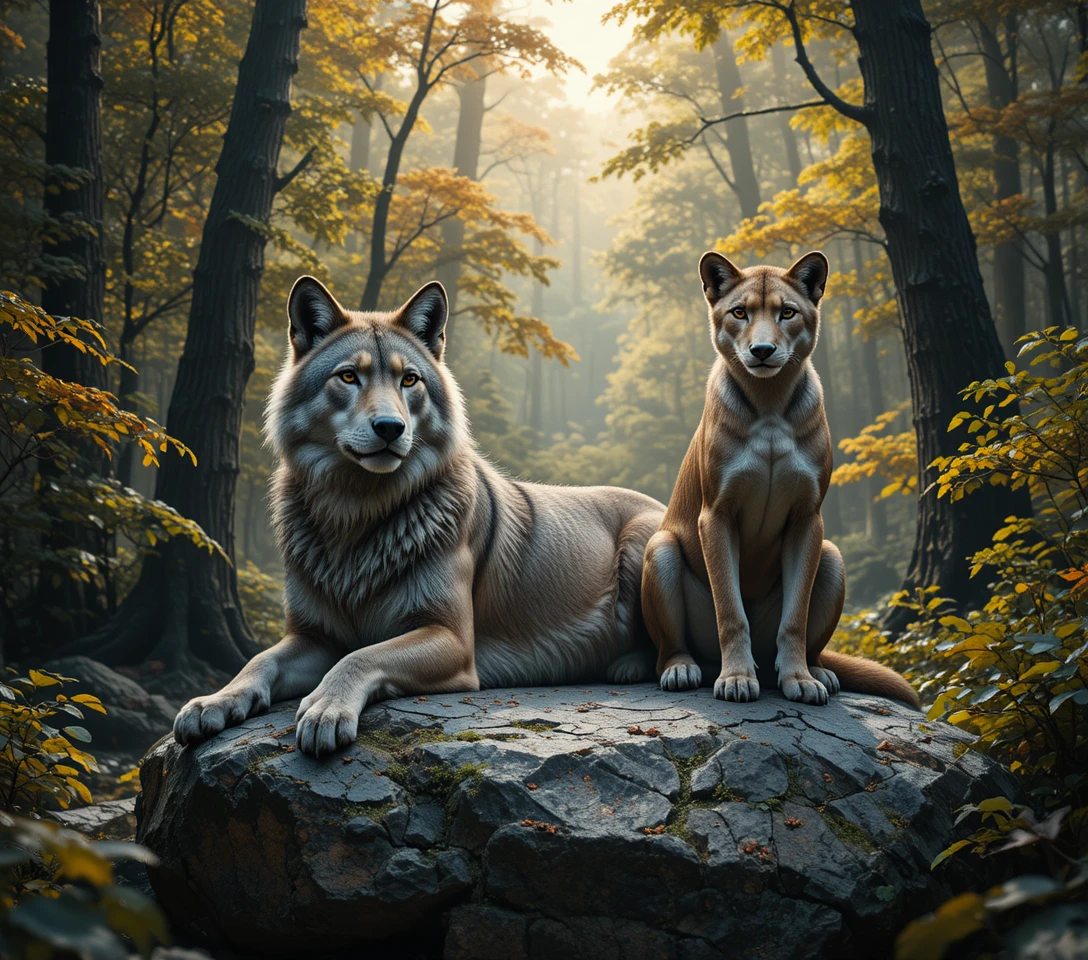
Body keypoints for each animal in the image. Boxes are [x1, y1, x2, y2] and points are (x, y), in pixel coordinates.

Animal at [173, 277, 665, 756]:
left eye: (409, 379)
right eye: (348, 376)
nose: (390, 428)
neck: (356, 518)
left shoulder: (450, 639)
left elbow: (361, 656)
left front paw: (326, 707)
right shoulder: (313, 636)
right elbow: (258, 660)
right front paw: (214, 700)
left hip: (644, 543)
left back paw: (629, 665)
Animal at [640, 250, 918, 708]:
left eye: (787, 312)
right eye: (740, 312)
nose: (763, 349)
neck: (769, 408)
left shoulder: (807, 520)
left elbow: (796, 618)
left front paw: (799, 679)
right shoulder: (716, 516)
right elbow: (731, 611)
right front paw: (737, 678)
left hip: (832, 557)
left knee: (813, 643)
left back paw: (818, 671)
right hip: (661, 549)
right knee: (670, 646)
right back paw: (683, 669)